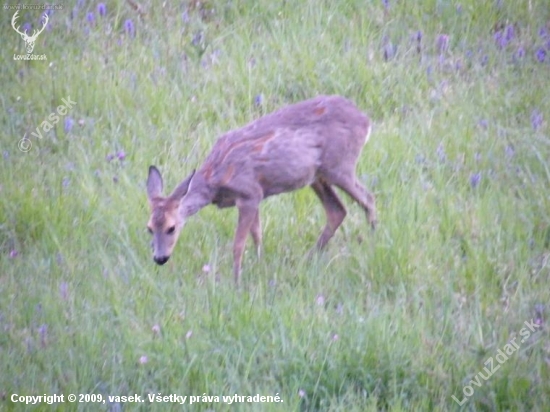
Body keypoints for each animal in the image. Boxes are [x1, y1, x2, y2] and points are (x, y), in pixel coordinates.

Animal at [149, 95, 378, 284]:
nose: (160, 258)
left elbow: (238, 244)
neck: (215, 178)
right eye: (149, 228)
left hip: (339, 166)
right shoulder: (253, 196)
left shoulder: (249, 193)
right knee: (337, 210)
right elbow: (257, 234)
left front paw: (236, 282)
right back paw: (308, 259)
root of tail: (365, 121)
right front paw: (260, 265)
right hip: (317, 176)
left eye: (171, 228)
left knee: (368, 198)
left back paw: (373, 242)